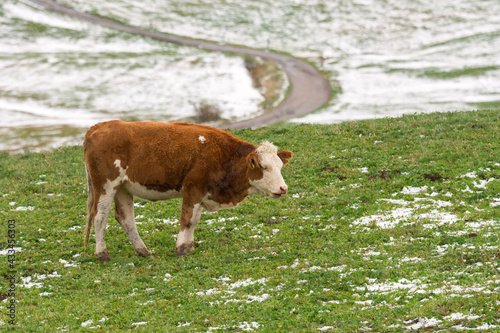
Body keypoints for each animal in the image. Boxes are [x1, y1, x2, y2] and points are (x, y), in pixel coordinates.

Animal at [83, 120, 292, 260]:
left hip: (122, 188)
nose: (283, 188)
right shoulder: (193, 188)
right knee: (100, 216)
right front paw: (181, 248)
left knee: (126, 218)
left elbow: (194, 220)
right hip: (105, 185)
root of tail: (97, 127)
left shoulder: (201, 193)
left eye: (280, 166)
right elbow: (188, 219)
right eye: (264, 167)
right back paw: (102, 254)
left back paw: (144, 251)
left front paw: (189, 246)